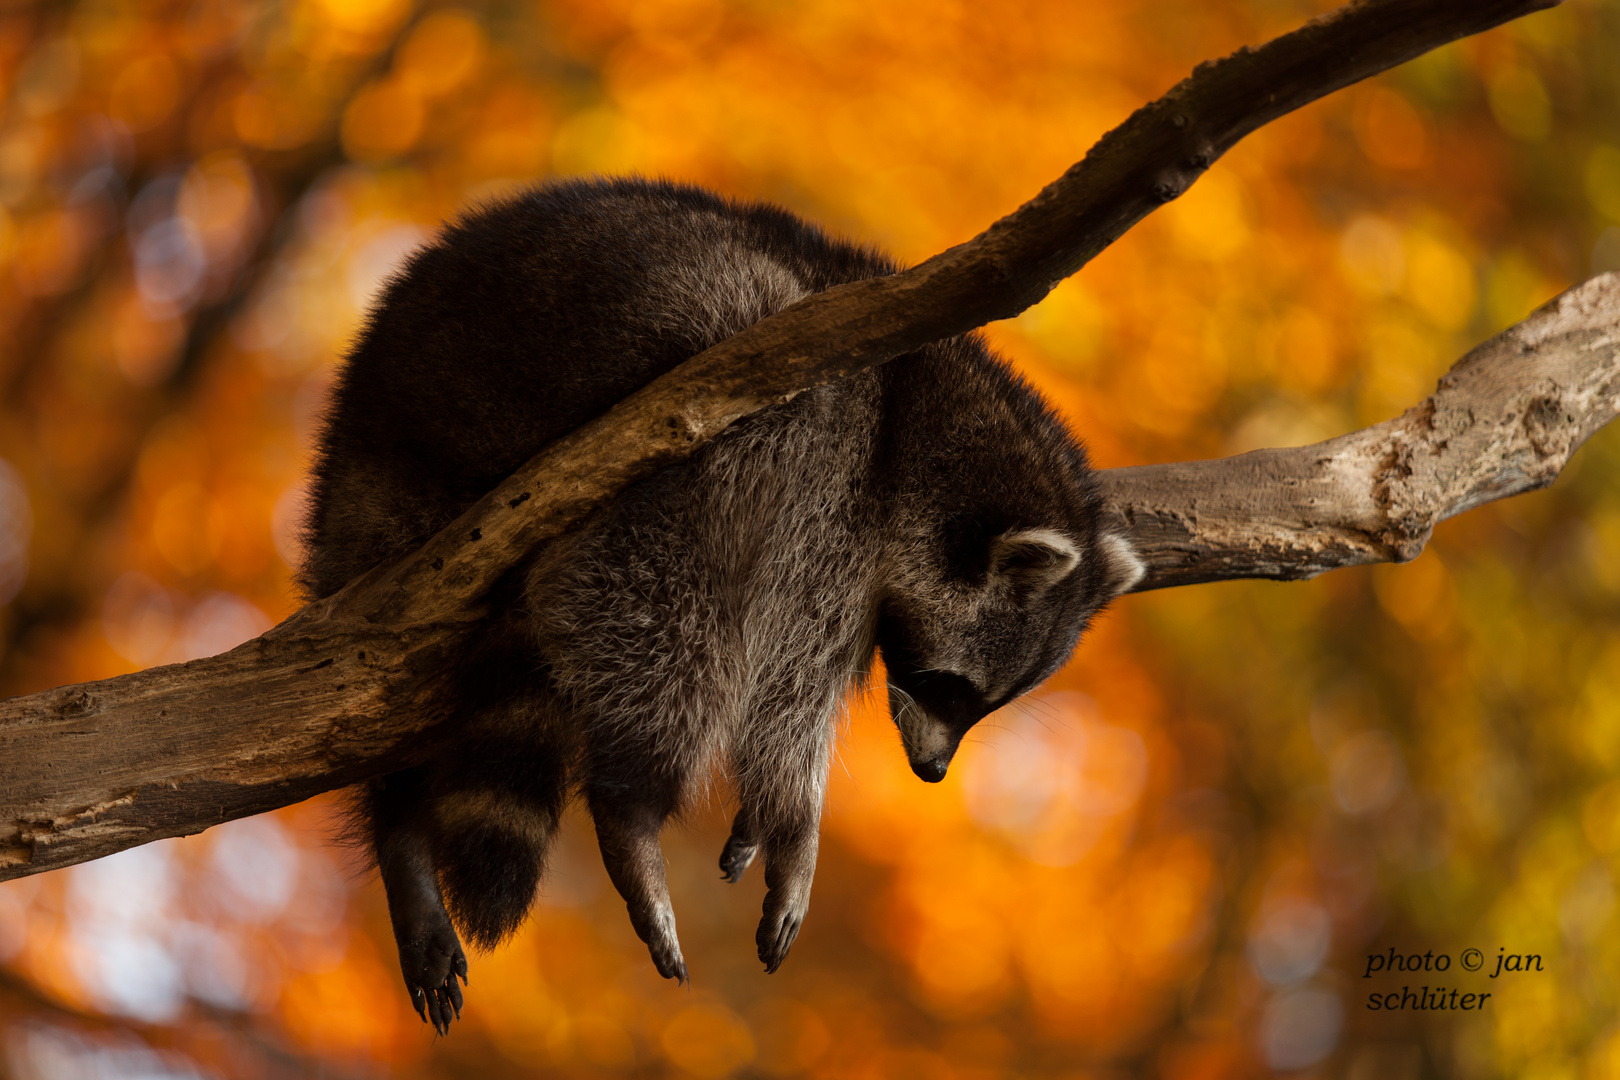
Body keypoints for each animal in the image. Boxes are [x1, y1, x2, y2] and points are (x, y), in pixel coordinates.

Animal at [304, 177, 1140, 1029]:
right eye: (953, 690)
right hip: (588, 357)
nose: (934, 772)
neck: (926, 400)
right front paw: (790, 817)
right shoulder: (842, 452)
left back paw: (399, 826)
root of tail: (360, 434)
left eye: (981, 705)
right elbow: (787, 662)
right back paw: (631, 800)